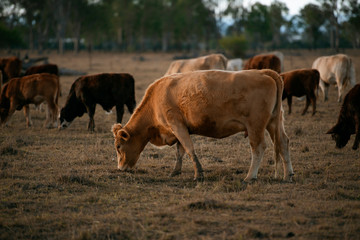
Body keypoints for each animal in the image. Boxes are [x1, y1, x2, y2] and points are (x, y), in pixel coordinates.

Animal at [111, 69, 294, 182]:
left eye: (119, 146)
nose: (120, 168)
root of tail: (264, 72)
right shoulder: (180, 128)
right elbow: (180, 151)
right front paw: (175, 171)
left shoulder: (177, 125)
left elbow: (189, 149)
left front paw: (198, 174)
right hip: (274, 123)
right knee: (283, 143)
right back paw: (288, 175)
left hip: (256, 126)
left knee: (258, 147)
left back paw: (250, 177)